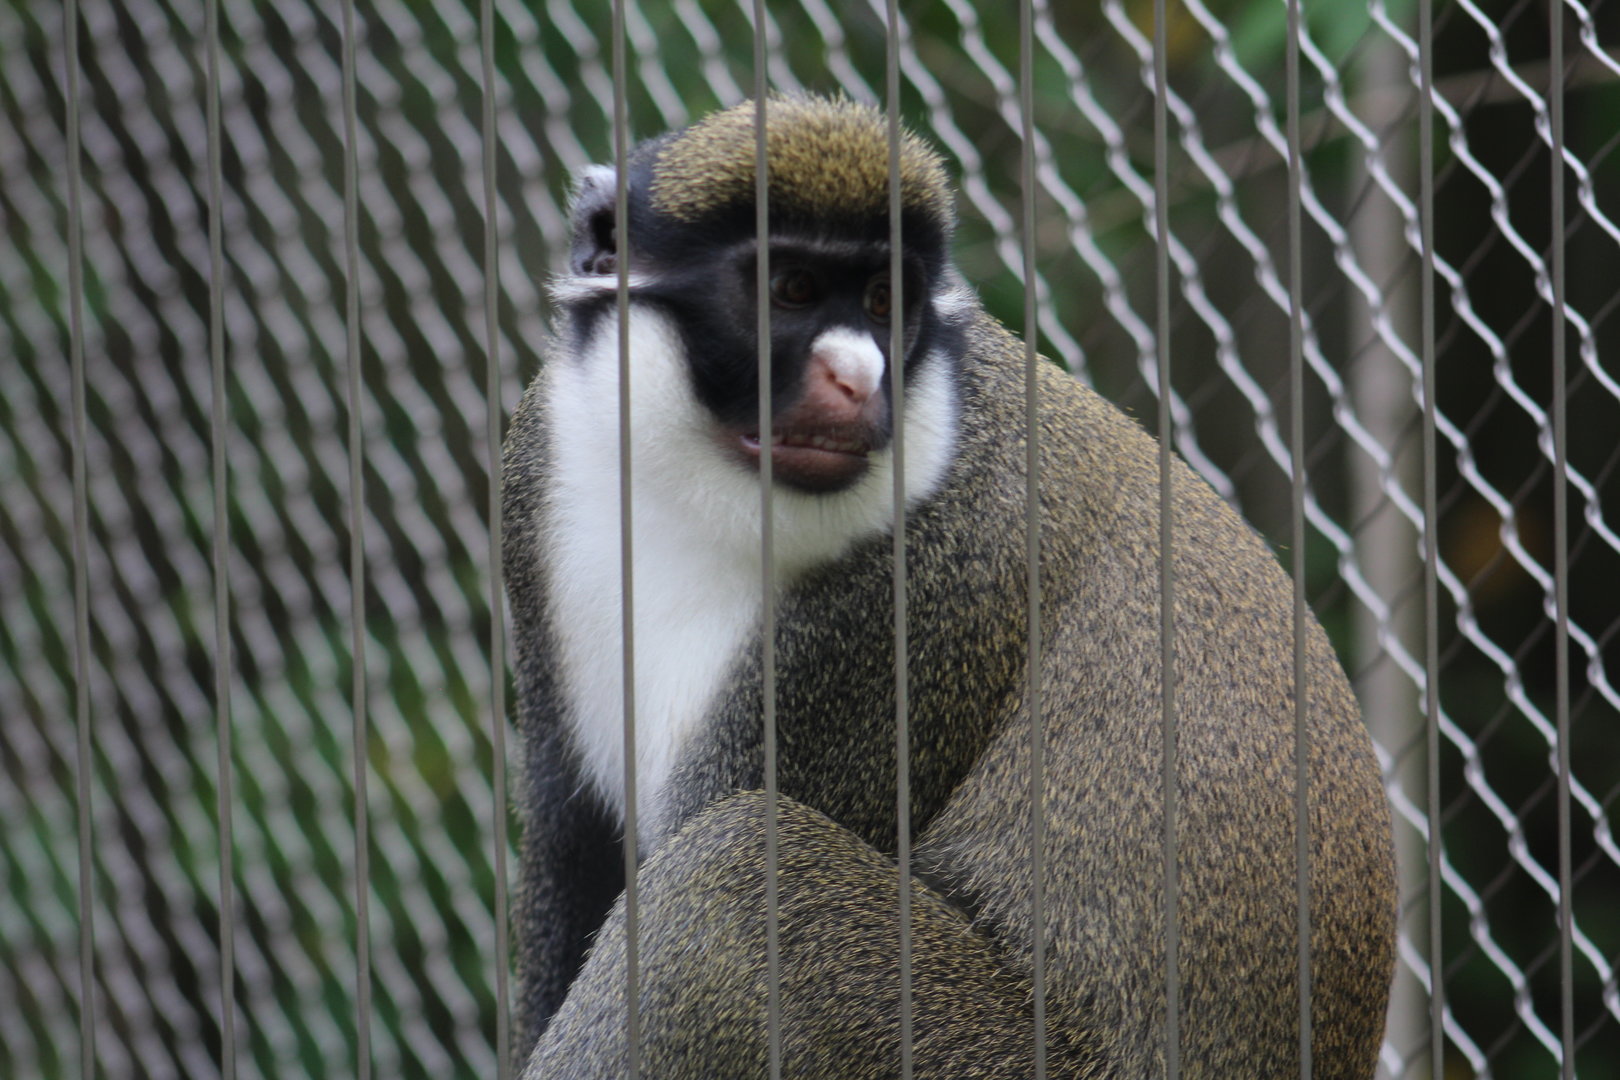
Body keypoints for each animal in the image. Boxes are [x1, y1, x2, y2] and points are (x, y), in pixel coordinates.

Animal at [502, 95, 1396, 1078]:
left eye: (884, 302)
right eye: (792, 290)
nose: (860, 377)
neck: (699, 486)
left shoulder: (934, 575)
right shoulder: (538, 465)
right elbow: (571, 839)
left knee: (729, 882)